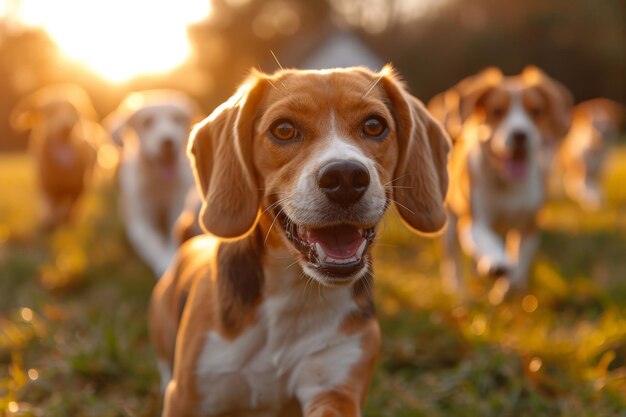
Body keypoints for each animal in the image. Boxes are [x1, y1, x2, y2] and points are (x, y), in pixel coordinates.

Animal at [10, 83, 102, 229]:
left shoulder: (78, 186)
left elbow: (71, 206)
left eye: (74, 111)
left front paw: (67, 220)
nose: (67, 128)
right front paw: (51, 220)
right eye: (50, 111)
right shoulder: (47, 186)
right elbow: (52, 207)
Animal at [103, 89, 199, 276]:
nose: (168, 141)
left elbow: (172, 234)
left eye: (177, 118)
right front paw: (165, 263)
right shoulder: (140, 222)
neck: (159, 181)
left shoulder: (177, 209)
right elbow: (153, 242)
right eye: (147, 122)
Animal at [147, 66, 448, 414]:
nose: (345, 177)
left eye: (374, 125)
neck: (293, 291)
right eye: (284, 129)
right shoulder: (190, 396)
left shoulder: (334, 389)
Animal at [428, 66, 572, 296]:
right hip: (449, 226)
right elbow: (486, 241)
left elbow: (520, 262)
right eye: (497, 111)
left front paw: (507, 289)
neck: (507, 184)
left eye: (536, 111)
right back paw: (458, 288)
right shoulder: (474, 221)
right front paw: (497, 263)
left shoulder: (530, 224)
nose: (520, 134)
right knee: (453, 261)